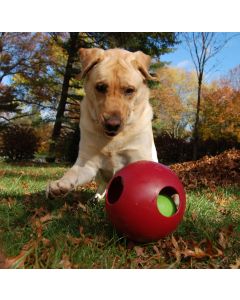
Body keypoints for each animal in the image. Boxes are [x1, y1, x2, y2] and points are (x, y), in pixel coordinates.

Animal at [47, 48, 159, 199]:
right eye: (100, 87)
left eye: (129, 90)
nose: (112, 124)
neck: (113, 140)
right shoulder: (87, 163)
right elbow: (72, 172)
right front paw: (60, 184)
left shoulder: (139, 157)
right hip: (98, 176)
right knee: (103, 184)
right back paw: (97, 197)